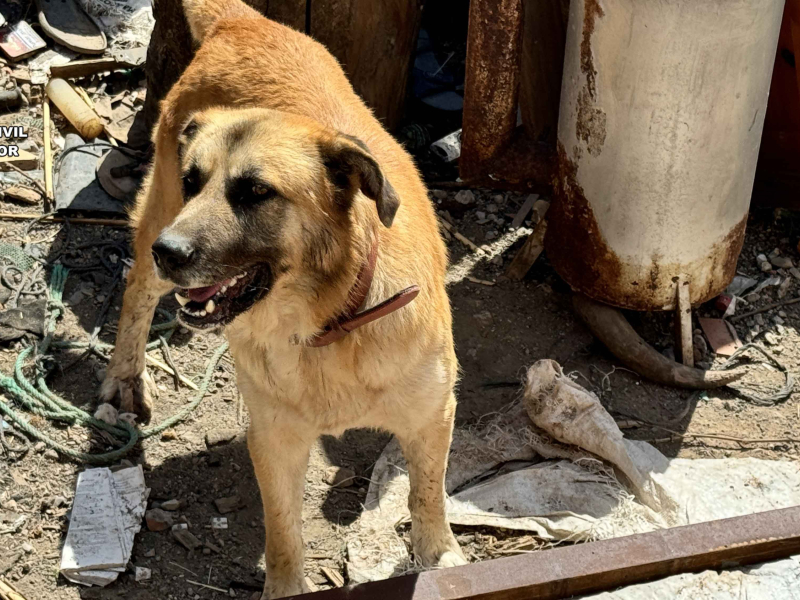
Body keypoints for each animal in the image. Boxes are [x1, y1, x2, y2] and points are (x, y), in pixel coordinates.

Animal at [99, 0, 462, 596]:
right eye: (196, 181)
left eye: (255, 192)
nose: (169, 251)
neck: (328, 321)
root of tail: (242, 22)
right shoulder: (275, 436)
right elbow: (283, 530)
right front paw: (287, 585)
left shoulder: (432, 414)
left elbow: (427, 492)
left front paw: (439, 555)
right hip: (158, 215)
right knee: (136, 292)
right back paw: (125, 376)